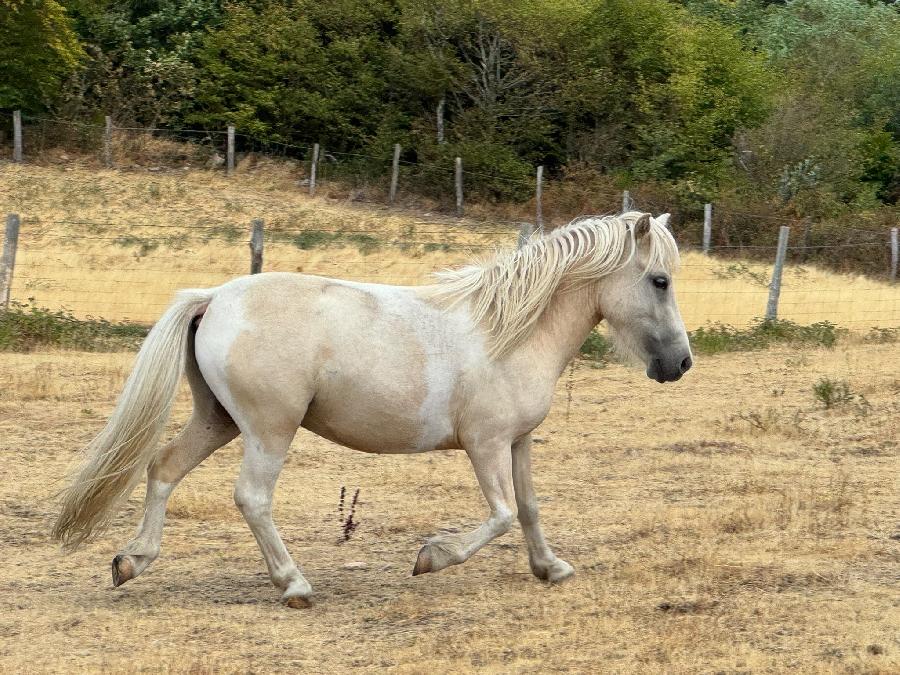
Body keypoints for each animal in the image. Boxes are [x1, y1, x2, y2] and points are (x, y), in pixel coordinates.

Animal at [52, 211, 692, 608]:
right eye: (659, 280)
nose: (681, 364)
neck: (509, 332)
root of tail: (214, 298)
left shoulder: (518, 440)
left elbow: (530, 509)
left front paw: (551, 568)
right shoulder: (484, 444)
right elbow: (503, 514)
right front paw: (432, 557)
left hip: (218, 421)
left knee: (163, 469)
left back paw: (131, 561)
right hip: (268, 429)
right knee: (252, 498)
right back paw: (294, 585)